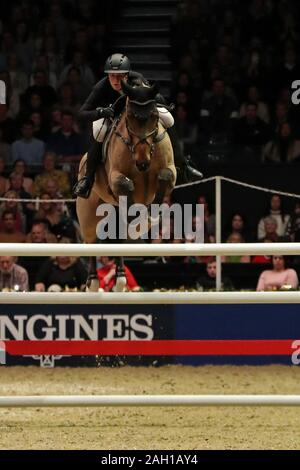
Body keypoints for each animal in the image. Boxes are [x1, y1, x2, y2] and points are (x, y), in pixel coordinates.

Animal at [76, 81, 177, 290]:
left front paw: (151, 216)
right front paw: (139, 217)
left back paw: (120, 278)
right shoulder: (116, 178)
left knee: (119, 239)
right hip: (88, 214)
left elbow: (165, 176)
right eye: (130, 116)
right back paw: (93, 281)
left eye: (155, 116)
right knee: (90, 242)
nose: (142, 163)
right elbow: (126, 184)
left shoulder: (170, 171)